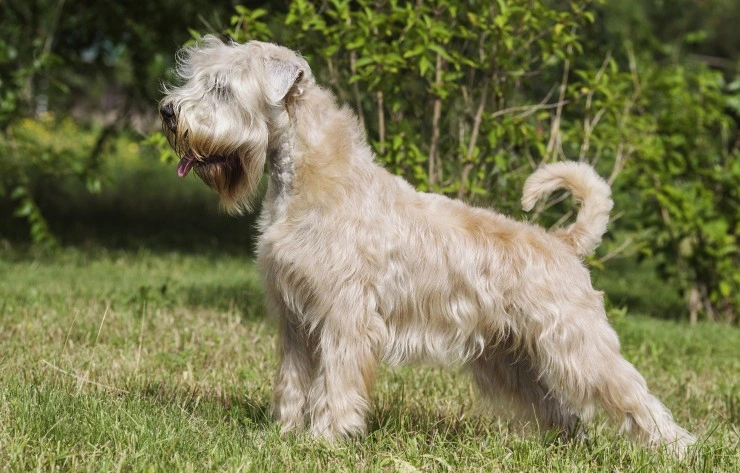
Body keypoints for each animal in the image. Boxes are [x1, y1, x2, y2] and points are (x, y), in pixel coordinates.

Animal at [159, 35, 696, 456]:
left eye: (222, 87)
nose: (167, 111)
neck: (307, 181)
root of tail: (562, 243)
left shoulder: (344, 314)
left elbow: (337, 380)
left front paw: (325, 438)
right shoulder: (294, 317)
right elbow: (293, 380)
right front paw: (283, 434)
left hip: (577, 343)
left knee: (633, 395)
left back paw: (677, 449)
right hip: (512, 358)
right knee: (561, 410)